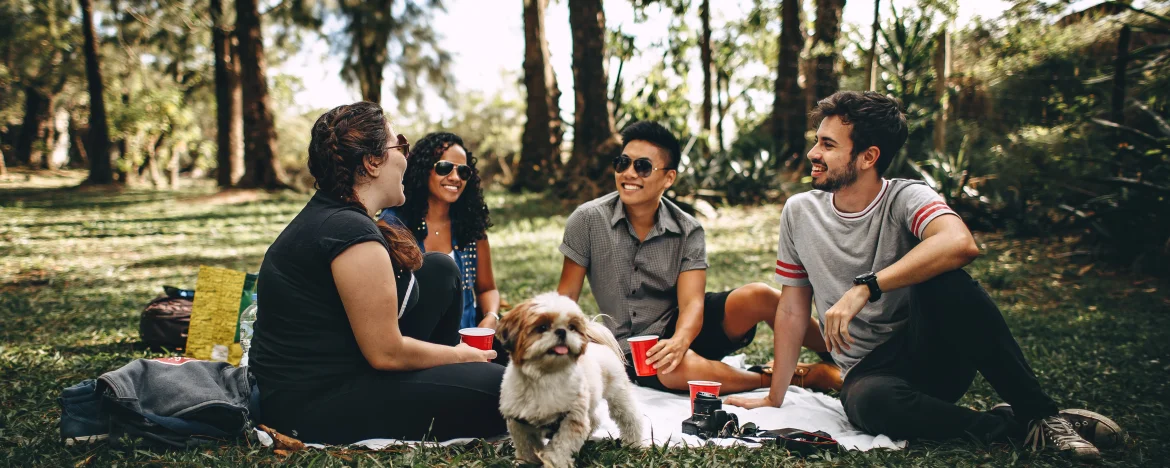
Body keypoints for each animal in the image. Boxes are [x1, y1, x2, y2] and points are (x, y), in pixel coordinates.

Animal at [498, 294, 645, 465]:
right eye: (542, 327)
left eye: (572, 327)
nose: (562, 331)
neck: (545, 376)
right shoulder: (519, 422)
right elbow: (526, 447)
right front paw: (526, 462)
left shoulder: (572, 418)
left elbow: (560, 448)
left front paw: (552, 461)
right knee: (593, 419)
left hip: (618, 394)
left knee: (630, 418)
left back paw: (633, 443)